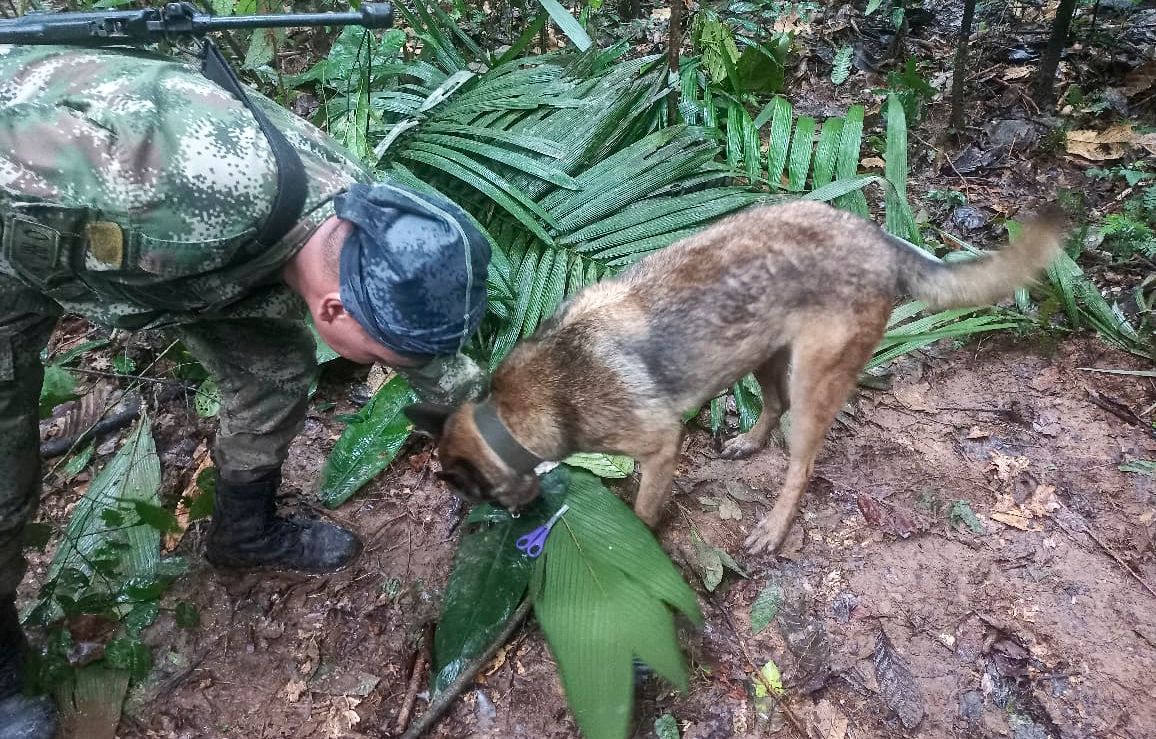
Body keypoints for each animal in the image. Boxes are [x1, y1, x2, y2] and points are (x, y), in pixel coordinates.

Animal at [406, 198, 1063, 552]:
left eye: (476, 495)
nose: (518, 521)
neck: (511, 413)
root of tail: (879, 239)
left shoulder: (659, 446)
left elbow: (644, 510)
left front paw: (638, 542)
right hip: (763, 354)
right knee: (771, 406)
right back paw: (749, 442)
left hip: (812, 380)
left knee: (801, 463)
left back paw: (774, 525)